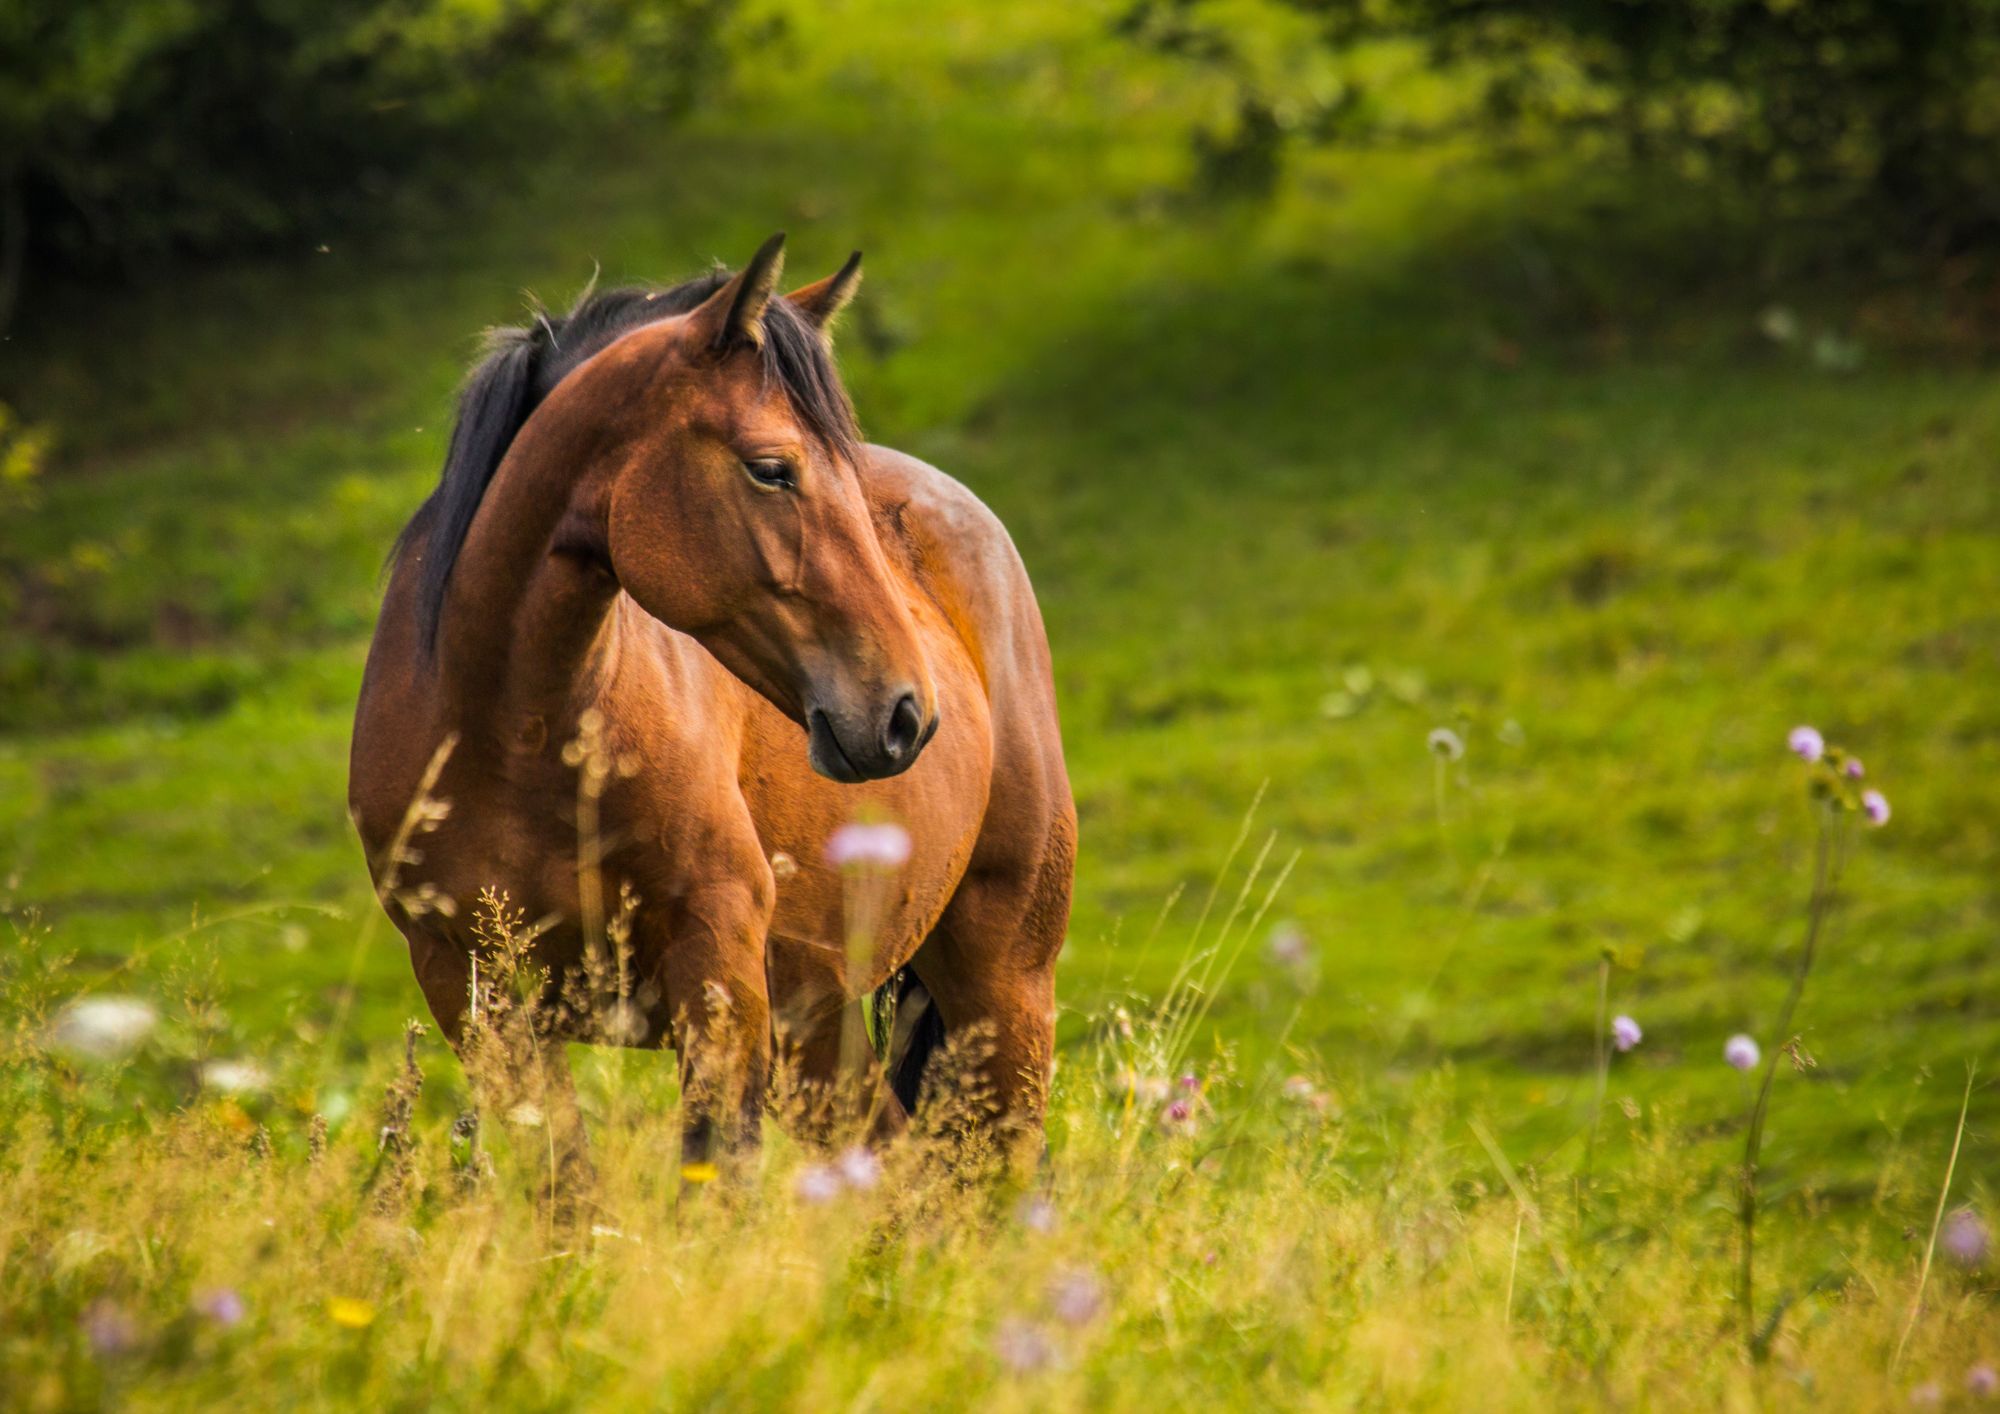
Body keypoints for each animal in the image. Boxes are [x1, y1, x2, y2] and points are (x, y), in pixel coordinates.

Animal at [348, 234, 1075, 1190]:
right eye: (771, 470)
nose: (906, 714)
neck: (514, 737)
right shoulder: (476, 995)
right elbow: (568, 1190)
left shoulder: (719, 969)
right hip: (820, 1021)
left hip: (1002, 988)